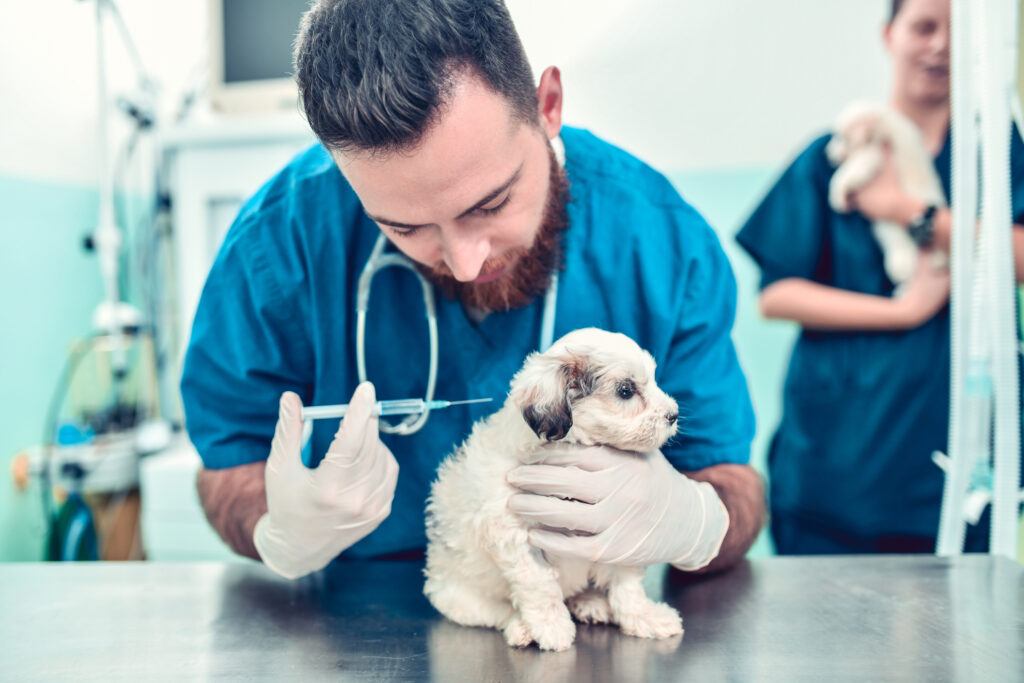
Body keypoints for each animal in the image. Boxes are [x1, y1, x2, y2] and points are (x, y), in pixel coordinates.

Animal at [423, 327, 688, 651]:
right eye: (625, 391)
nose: (673, 414)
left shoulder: (617, 533)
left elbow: (627, 587)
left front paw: (644, 617)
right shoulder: (514, 535)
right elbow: (539, 585)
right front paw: (551, 626)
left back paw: (589, 602)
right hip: (458, 596)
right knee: (496, 610)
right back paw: (521, 626)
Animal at [823, 100, 942, 286]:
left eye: (841, 137)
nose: (827, 154)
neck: (884, 124)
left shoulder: (872, 154)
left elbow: (845, 173)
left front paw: (837, 198)